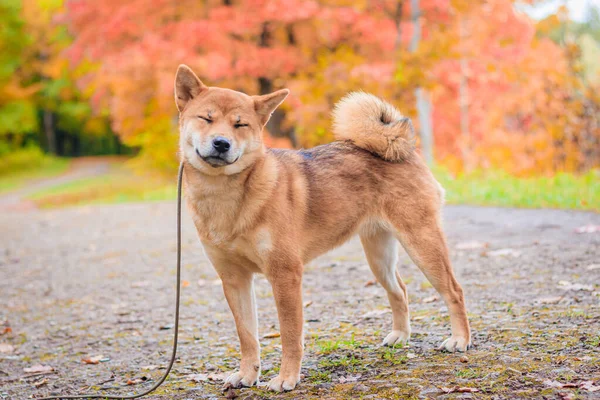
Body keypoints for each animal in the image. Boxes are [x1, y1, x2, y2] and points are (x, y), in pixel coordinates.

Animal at [176, 65, 472, 390]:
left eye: (240, 124)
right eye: (207, 118)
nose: (221, 143)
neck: (227, 197)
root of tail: (400, 148)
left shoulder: (285, 275)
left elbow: (290, 336)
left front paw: (286, 378)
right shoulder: (234, 279)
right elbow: (247, 336)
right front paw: (247, 374)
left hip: (422, 245)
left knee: (454, 291)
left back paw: (460, 339)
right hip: (379, 257)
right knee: (400, 291)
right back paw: (401, 336)